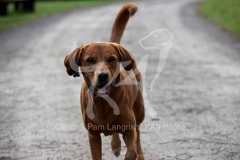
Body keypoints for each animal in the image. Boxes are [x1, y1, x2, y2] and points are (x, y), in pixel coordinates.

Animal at [63, 2, 144, 160]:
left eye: (112, 59)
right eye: (89, 60)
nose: (103, 75)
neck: (104, 102)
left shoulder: (129, 128)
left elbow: (131, 151)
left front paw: (132, 153)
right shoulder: (93, 135)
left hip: (139, 110)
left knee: (138, 134)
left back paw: (139, 153)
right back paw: (116, 145)